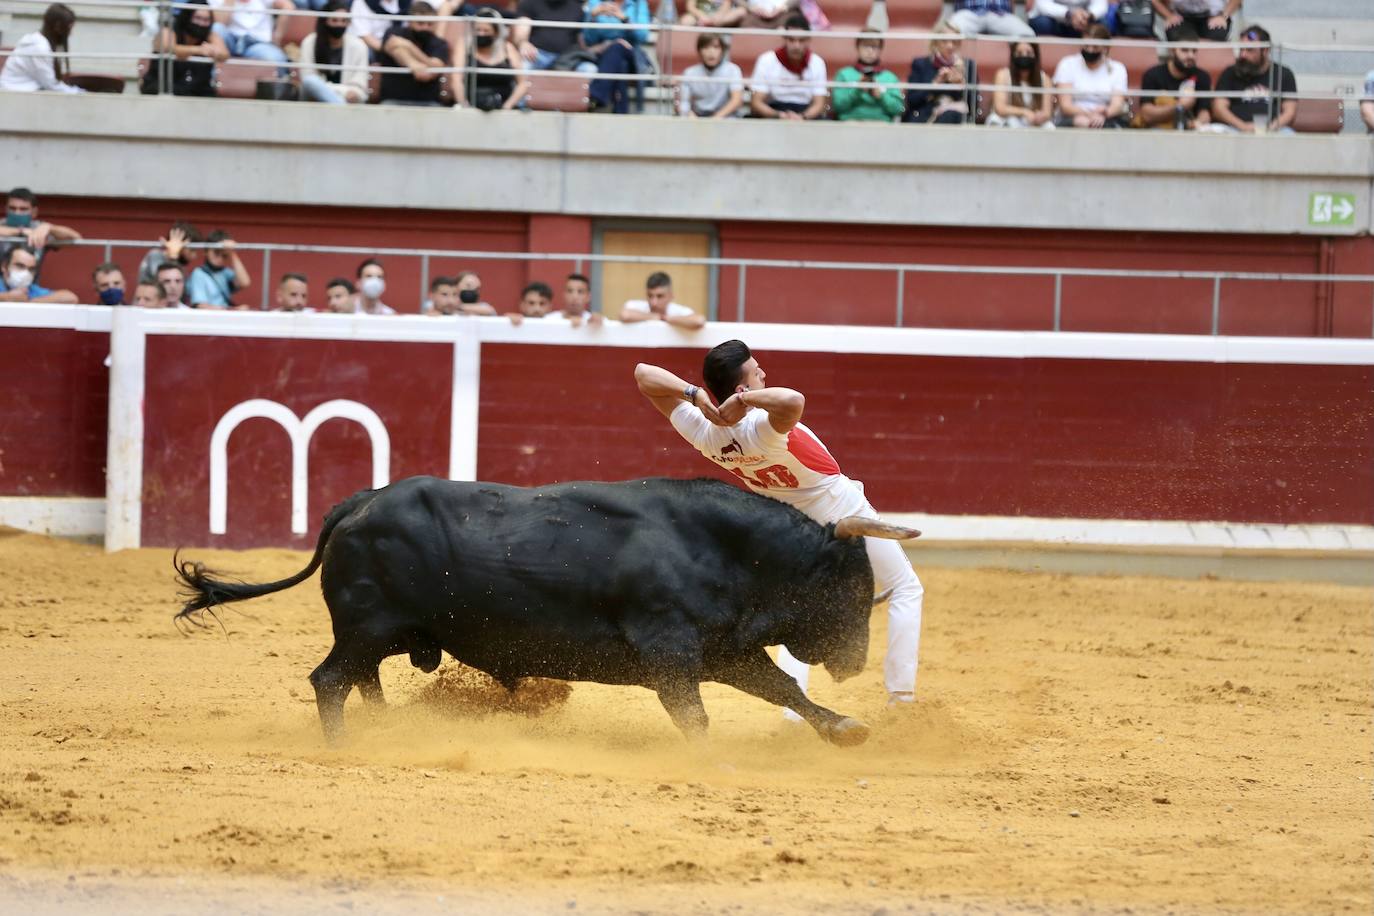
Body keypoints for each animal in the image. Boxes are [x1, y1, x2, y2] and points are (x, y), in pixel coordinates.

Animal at [174, 477, 923, 747]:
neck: (718, 546)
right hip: (367, 627)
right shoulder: (671, 652)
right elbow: (695, 714)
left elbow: (782, 686)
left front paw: (845, 728)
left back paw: (388, 731)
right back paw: (351, 746)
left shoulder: (723, 650)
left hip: (385, 634)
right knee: (330, 679)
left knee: (360, 679)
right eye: (852, 590)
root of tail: (360, 503)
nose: (856, 663)